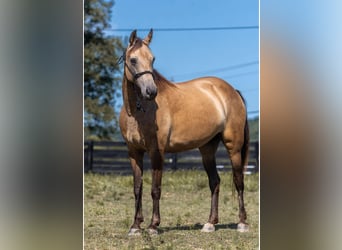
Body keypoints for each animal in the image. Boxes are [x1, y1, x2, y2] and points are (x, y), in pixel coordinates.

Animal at [119, 29, 250, 236]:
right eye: (133, 60)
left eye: (153, 59)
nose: (151, 91)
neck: (138, 111)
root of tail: (231, 90)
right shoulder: (134, 153)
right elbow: (137, 188)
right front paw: (135, 226)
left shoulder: (157, 152)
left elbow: (155, 189)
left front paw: (153, 226)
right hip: (207, 150)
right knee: (215, 182)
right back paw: (210, 223)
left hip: (234, 147)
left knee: (238, 181)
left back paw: (242, 223)